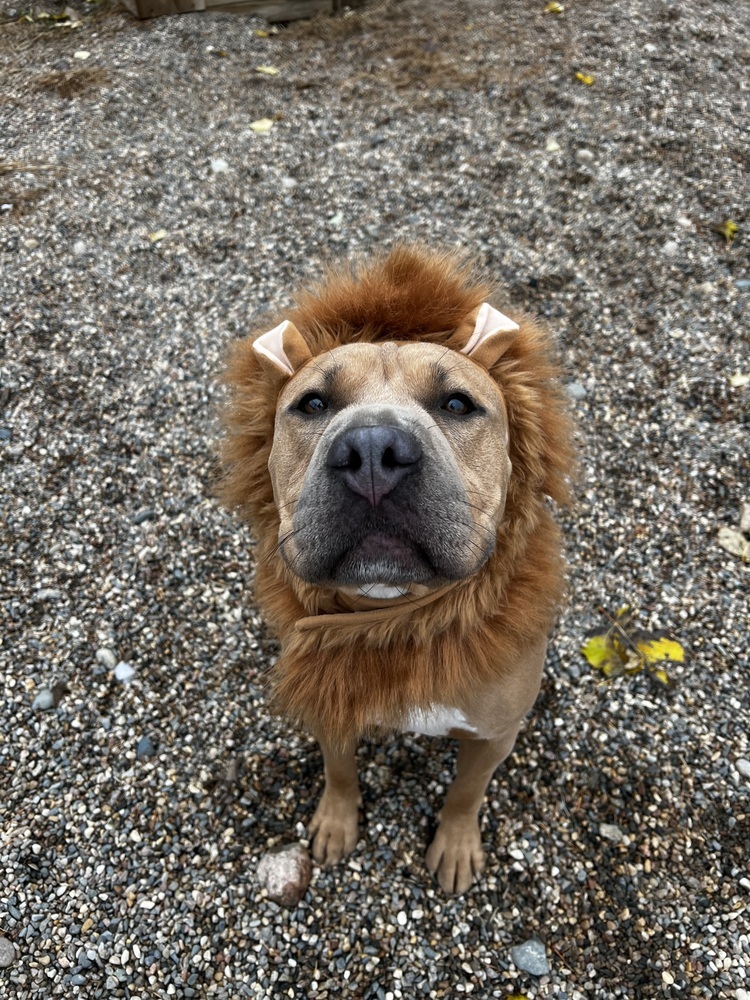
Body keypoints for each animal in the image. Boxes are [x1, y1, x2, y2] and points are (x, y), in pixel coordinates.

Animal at [220, 246, 572, 896]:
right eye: (313, 404)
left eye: (457, 404)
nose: (372, 451)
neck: (396, 618)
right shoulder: (328, 693)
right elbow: (338, 769)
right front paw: (336, 821)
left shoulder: (494, 736)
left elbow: (466, 792)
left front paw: (455, 844)